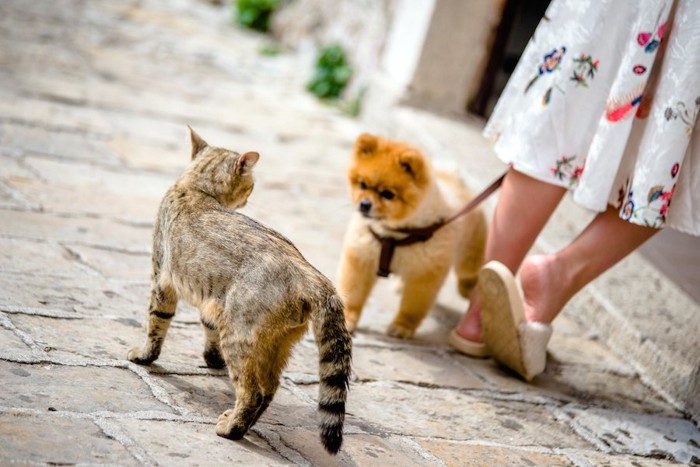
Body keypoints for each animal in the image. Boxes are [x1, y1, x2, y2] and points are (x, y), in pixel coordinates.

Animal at [126, 127, 352, 454]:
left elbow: (156, 324)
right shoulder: (212, 301)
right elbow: (206, 329)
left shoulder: (162, 279)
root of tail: (312, 274)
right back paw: (239, 422)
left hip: (240, 336)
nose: (249, 197)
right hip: (275, 343)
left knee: (253, 391)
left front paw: (144, 356)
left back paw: (231, 429)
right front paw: (211, 360)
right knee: (269, 389)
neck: (196, 187)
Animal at [338, 133, 486, 338]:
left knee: (469, 270)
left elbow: (413, 306)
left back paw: (468, 288)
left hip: (469, 249)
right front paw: (348, 320)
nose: (364, 204)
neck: (394, 234)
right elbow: (353, 294)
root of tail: (456, 181)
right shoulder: (361, 259)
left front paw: (402, 326)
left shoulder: (423, 272)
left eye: (388, 194)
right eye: (362, 184)